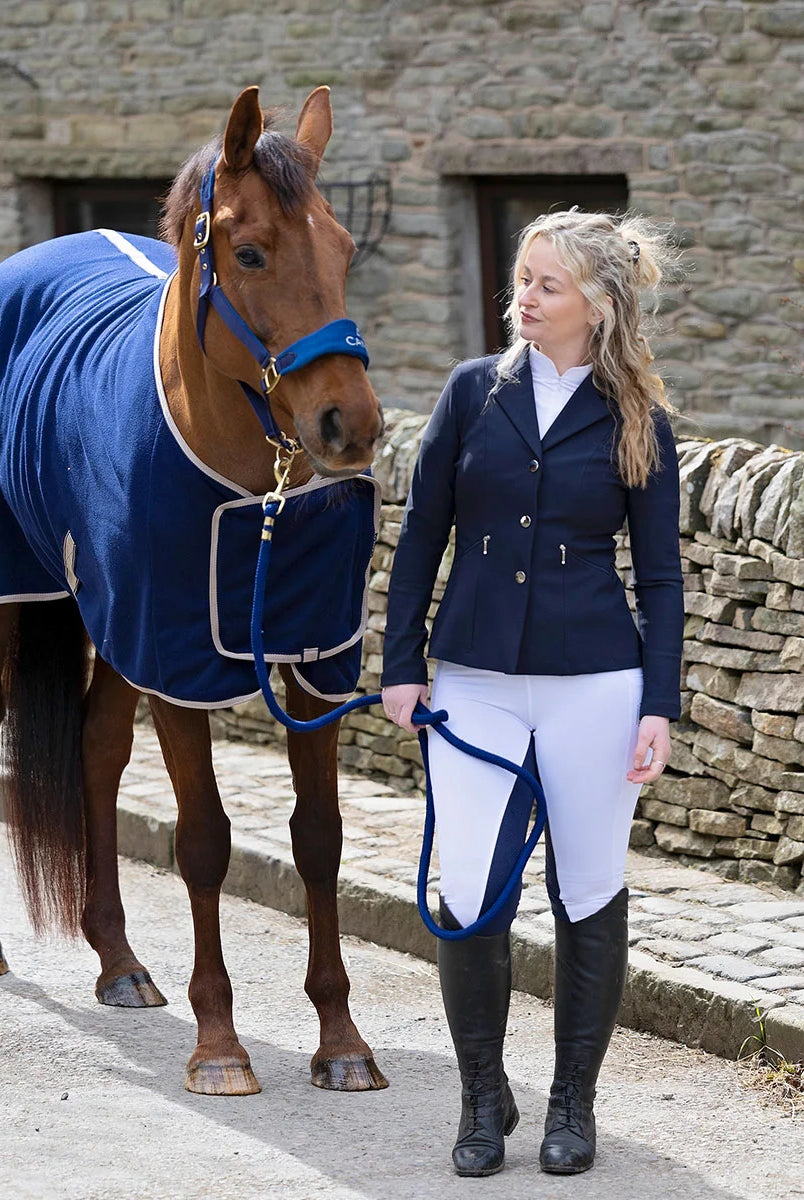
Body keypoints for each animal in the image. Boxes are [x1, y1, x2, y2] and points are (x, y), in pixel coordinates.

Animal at [0, 85, 388, 1097]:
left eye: (343, 248)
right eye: (249, 253)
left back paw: (118, 961)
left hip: (108, 616)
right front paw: (219, 1044)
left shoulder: (312, 663)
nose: (351, 425)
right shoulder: (178, 658)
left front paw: (341, 1041)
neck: (253, 493)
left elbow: (319, 837)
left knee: (96, 749)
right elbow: (204, 839)